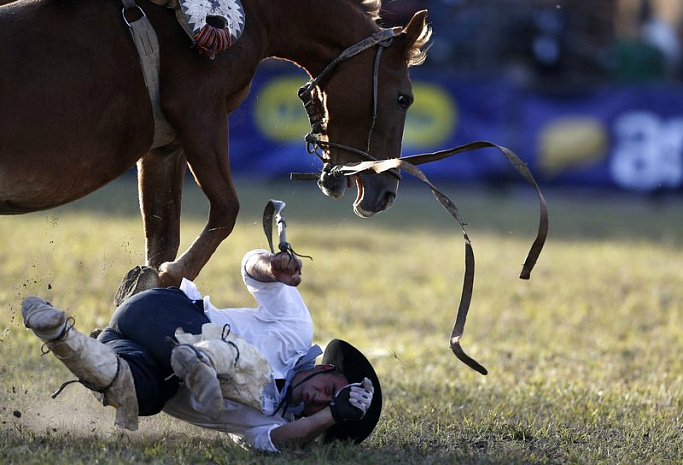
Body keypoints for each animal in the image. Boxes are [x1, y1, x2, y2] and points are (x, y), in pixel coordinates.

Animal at [0, 0, 428, 286]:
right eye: (403, 98)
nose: (386, 192)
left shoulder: (165, 149)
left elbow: (163, 239)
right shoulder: (200, 117)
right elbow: (225, 210)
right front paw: (173, 274)